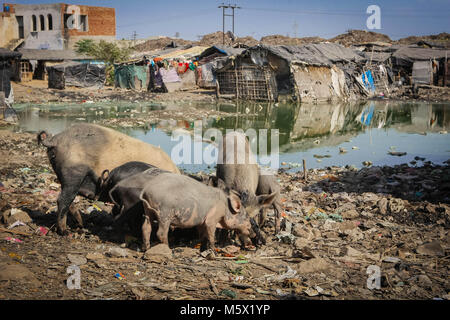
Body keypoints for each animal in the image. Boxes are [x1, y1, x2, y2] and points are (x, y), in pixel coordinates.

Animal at [37, 122, 180, 235]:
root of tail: (56, 139)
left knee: (68, 199)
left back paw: (80, 224)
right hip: (74, 172)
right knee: (63, 200)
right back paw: (65, 232)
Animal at [139, 171, 268, 251]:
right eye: (245, 216)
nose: (254, 233)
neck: (225, 207)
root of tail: (146, 190)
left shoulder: (201, 222)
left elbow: (203, 235)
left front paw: (202, 249)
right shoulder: (212, 218)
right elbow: (210, 234)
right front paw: (213, 250)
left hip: (147, 211)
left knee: (145, 227)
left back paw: (145, 248)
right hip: (164, 214)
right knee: (160, 232)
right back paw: (168, 249)